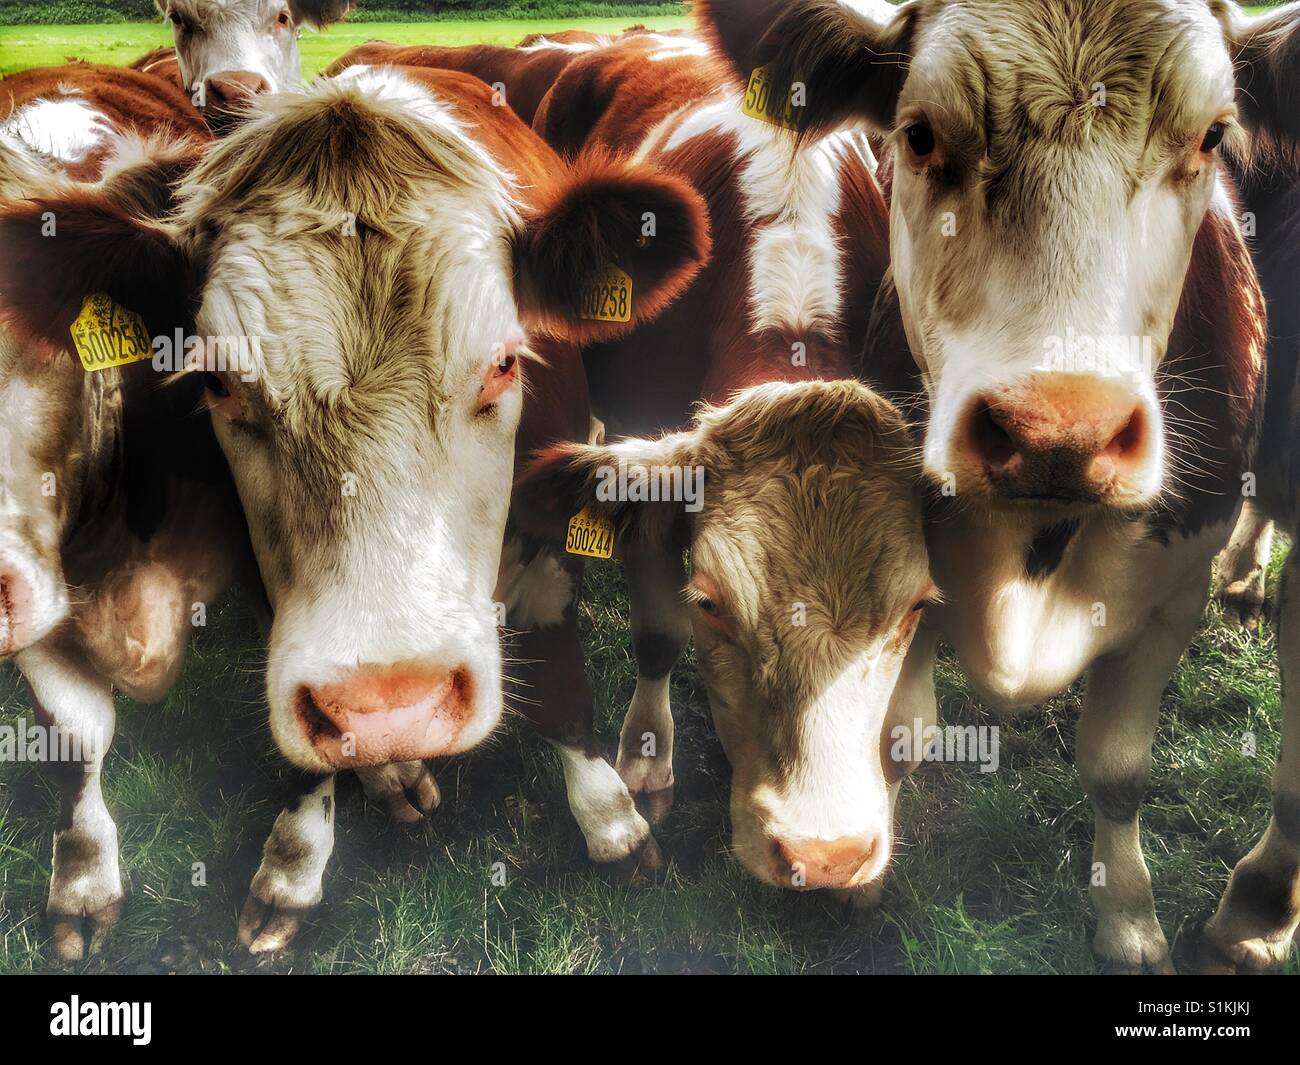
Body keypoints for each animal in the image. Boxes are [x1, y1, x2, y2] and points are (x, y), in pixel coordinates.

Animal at [0, 65, 711, 952]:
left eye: (505, 361)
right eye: (216, 380)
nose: (391, 704)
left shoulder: (549, 545)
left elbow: (562, 685)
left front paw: (611, 821)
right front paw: (288, 865)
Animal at [692, 0, 1300, 972]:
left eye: (1212, 134)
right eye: (918, 133)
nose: (1059, 431)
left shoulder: (1170, 597)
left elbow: (1118, 771)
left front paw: (1129, 921)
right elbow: (894, 734)